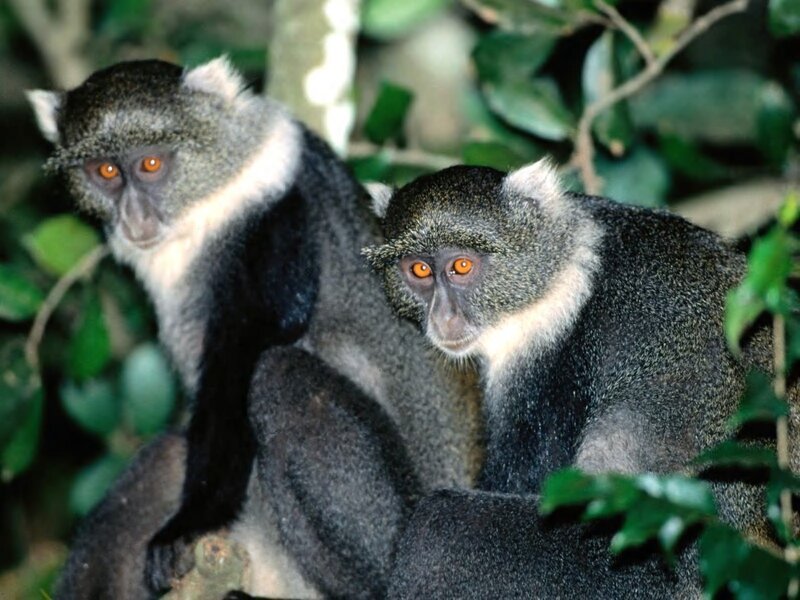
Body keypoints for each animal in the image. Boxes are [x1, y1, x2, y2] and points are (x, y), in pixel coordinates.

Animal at [28, 57, 481, 598]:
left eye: (152, 164)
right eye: (107, 171)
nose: (134, 217)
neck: (210, 199)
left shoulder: (277, 213)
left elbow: (246, 355)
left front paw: (191, 526)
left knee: (278, 378)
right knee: (164, 458)